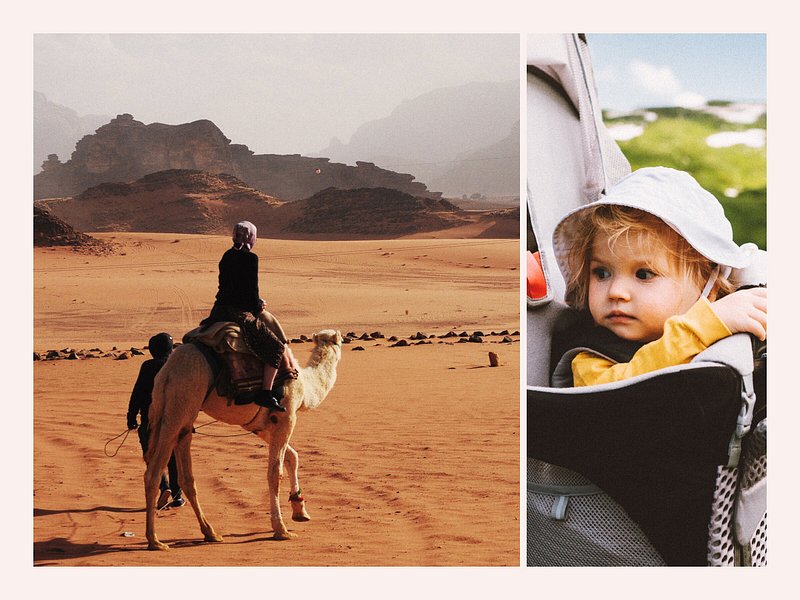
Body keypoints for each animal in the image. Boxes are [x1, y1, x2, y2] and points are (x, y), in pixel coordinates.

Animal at [142, 328, 342, 548]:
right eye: (338, 341)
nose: (338, 341)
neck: (306, 387)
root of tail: (167, 372)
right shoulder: (286, 417)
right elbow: (275, 473)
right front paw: (281, 529)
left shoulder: (260, 426)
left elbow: (293, 456)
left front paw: (300, 510)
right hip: (181, 401)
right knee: (153, 473)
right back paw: (155, 540)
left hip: (180, 412)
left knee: (186, 476)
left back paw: (210, 532)